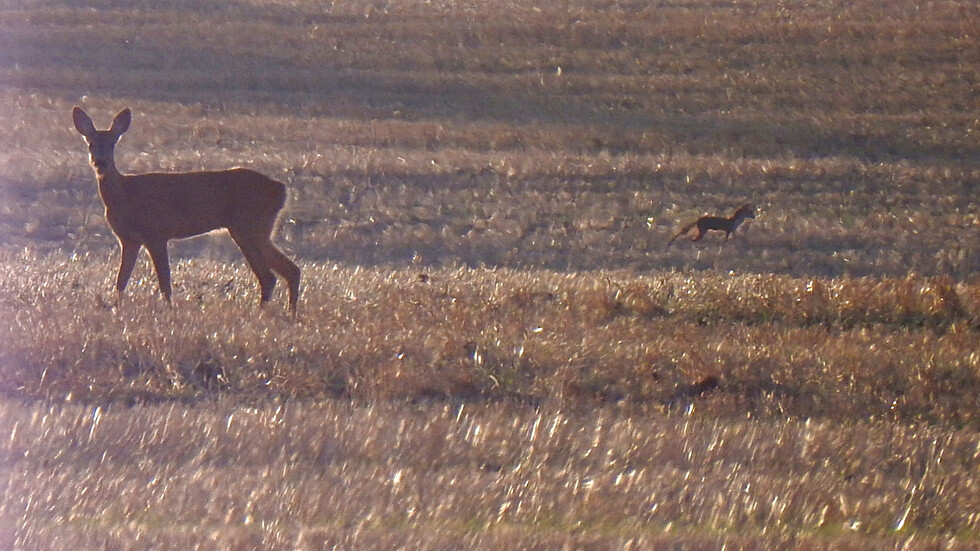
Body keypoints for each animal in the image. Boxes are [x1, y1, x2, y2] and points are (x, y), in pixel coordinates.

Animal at [72, 107, 298, 310]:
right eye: (91, 144)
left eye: (112, 143)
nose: (100, 163)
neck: (124, 195)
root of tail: (281, 189)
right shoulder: (129, 240)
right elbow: (121, 281)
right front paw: (116, 308)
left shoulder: (156, 233)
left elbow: (164, 281)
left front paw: (168, 311)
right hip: (256, 229)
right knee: (290, 270)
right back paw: (289, 313)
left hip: (248, 225)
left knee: (269, 276)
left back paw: (263, 312)